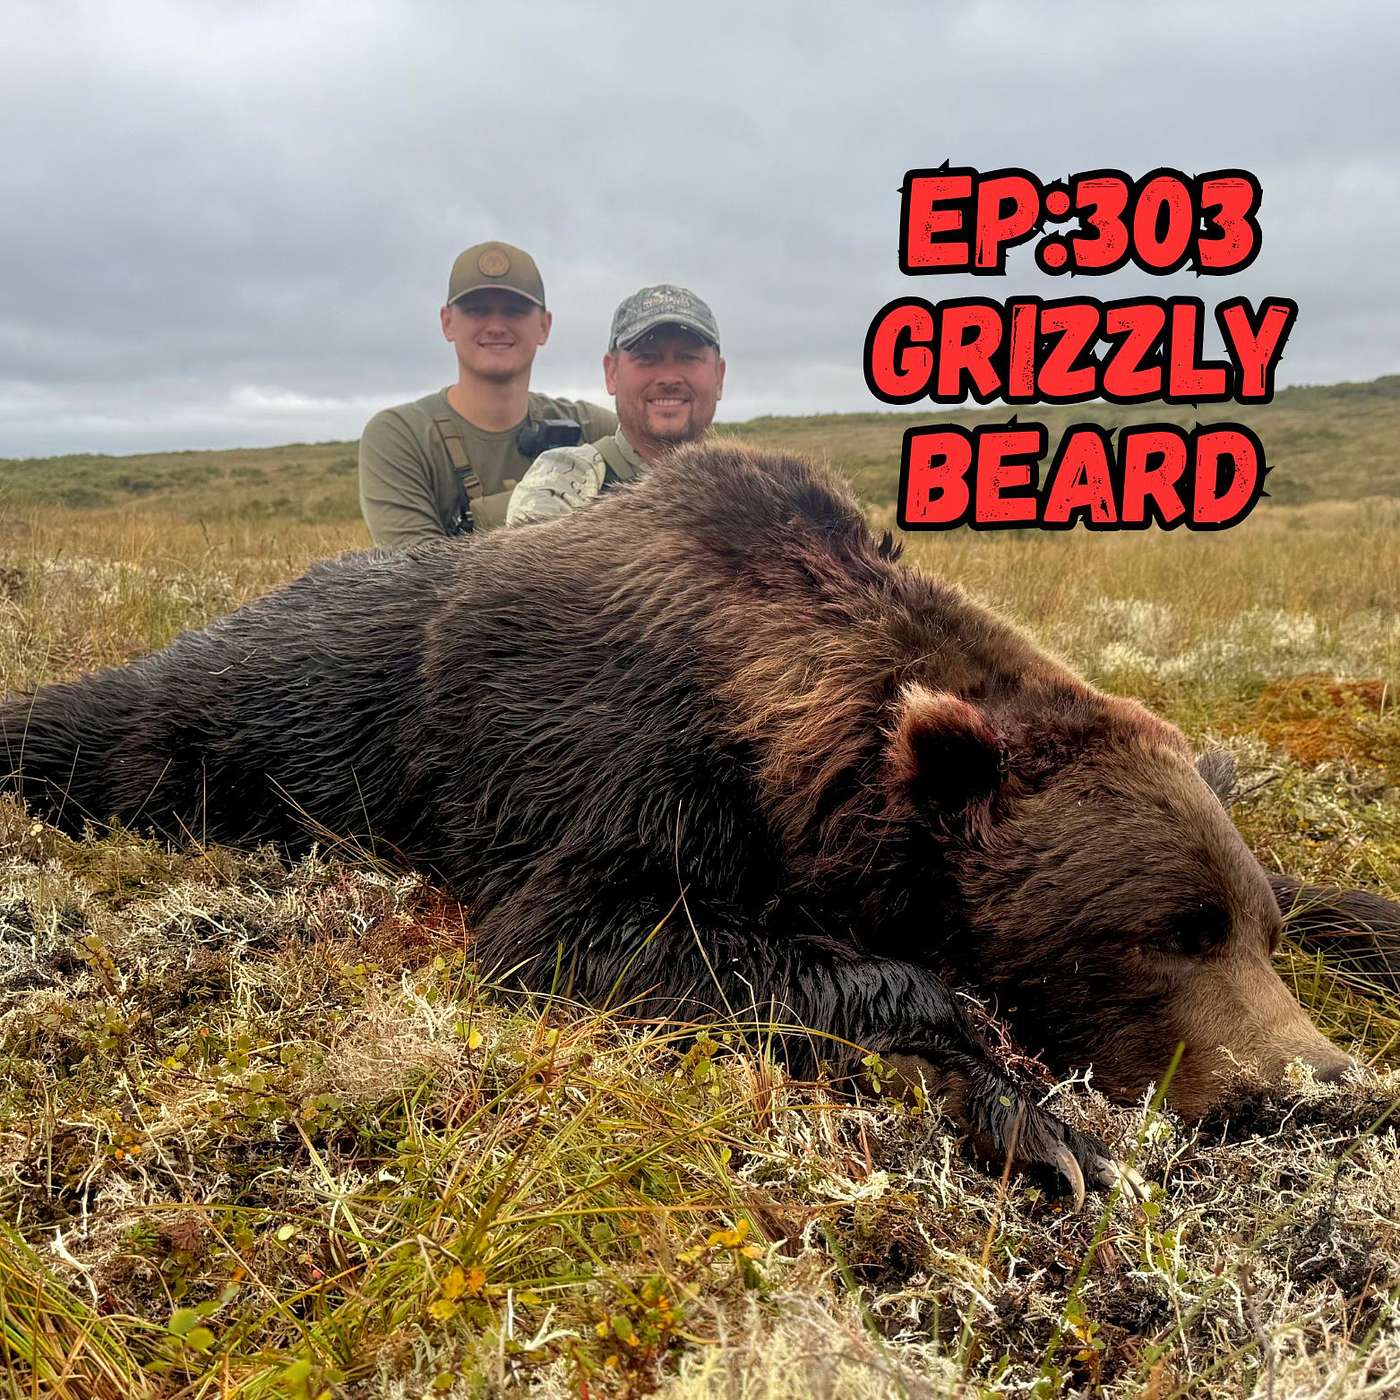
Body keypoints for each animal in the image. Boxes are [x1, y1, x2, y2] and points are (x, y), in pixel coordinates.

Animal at [0, 442, 1384, 1204]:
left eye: (1242, 925)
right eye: (1162, 931)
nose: (1319, 1086)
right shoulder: (611, 770)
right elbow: (591, 934)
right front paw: (1040, 1119)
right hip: (249, 715)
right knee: (107, 727)